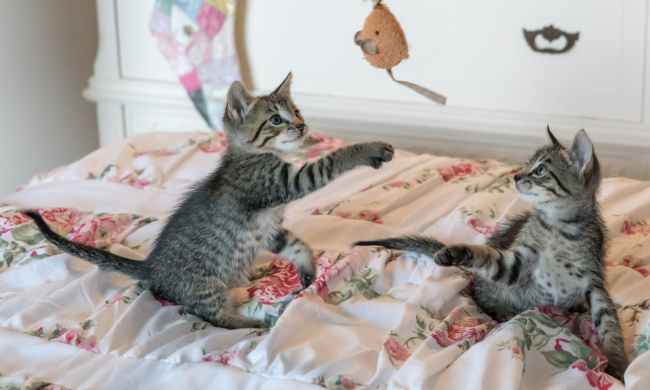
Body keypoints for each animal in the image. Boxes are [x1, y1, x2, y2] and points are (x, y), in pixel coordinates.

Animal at [25, 73, 392, 330]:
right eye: (276, 119)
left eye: (297, 111)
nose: (302, 126)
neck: (252, 155)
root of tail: (151, 267)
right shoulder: (281, 184)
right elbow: (332, 161)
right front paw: (370, 148)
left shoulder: (269, 229)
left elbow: (298, 245)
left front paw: (307, 270)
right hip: (205, 285)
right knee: (213, 317)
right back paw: (253, 323)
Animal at [354, 129, 628, 380]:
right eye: (528, 164)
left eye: (540, 170)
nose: (516, 175)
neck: (559, 228)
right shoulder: (517, 263)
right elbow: (486, 256)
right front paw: (454, 252)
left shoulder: (594, 282)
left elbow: (609, 324)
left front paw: (617, 364)